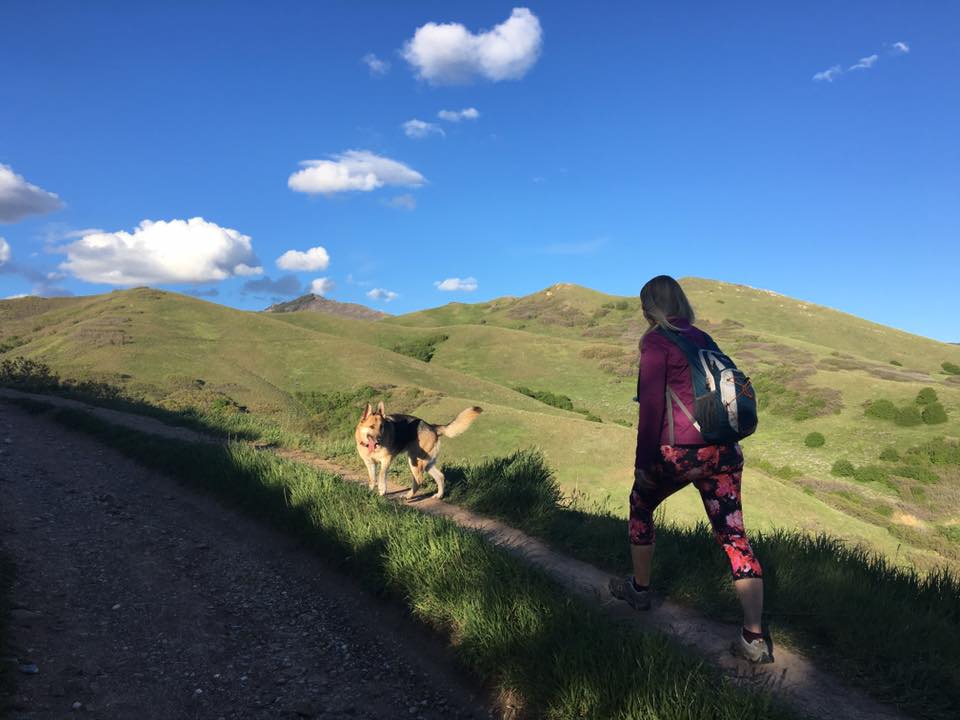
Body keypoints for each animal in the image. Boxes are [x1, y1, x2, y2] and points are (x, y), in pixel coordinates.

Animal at [354, 400, 484, 500]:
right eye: (371, 427)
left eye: (382, 427)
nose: (380, 439)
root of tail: (432, 427)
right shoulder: (369, 463)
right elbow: (372, 478)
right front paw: (370, 491)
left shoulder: (386, 460)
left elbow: (381, 475)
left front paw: (382, 491)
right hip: (426, 464)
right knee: (440, 476)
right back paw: (439, 495)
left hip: (414, 461)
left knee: (419, 480)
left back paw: (409, 496)